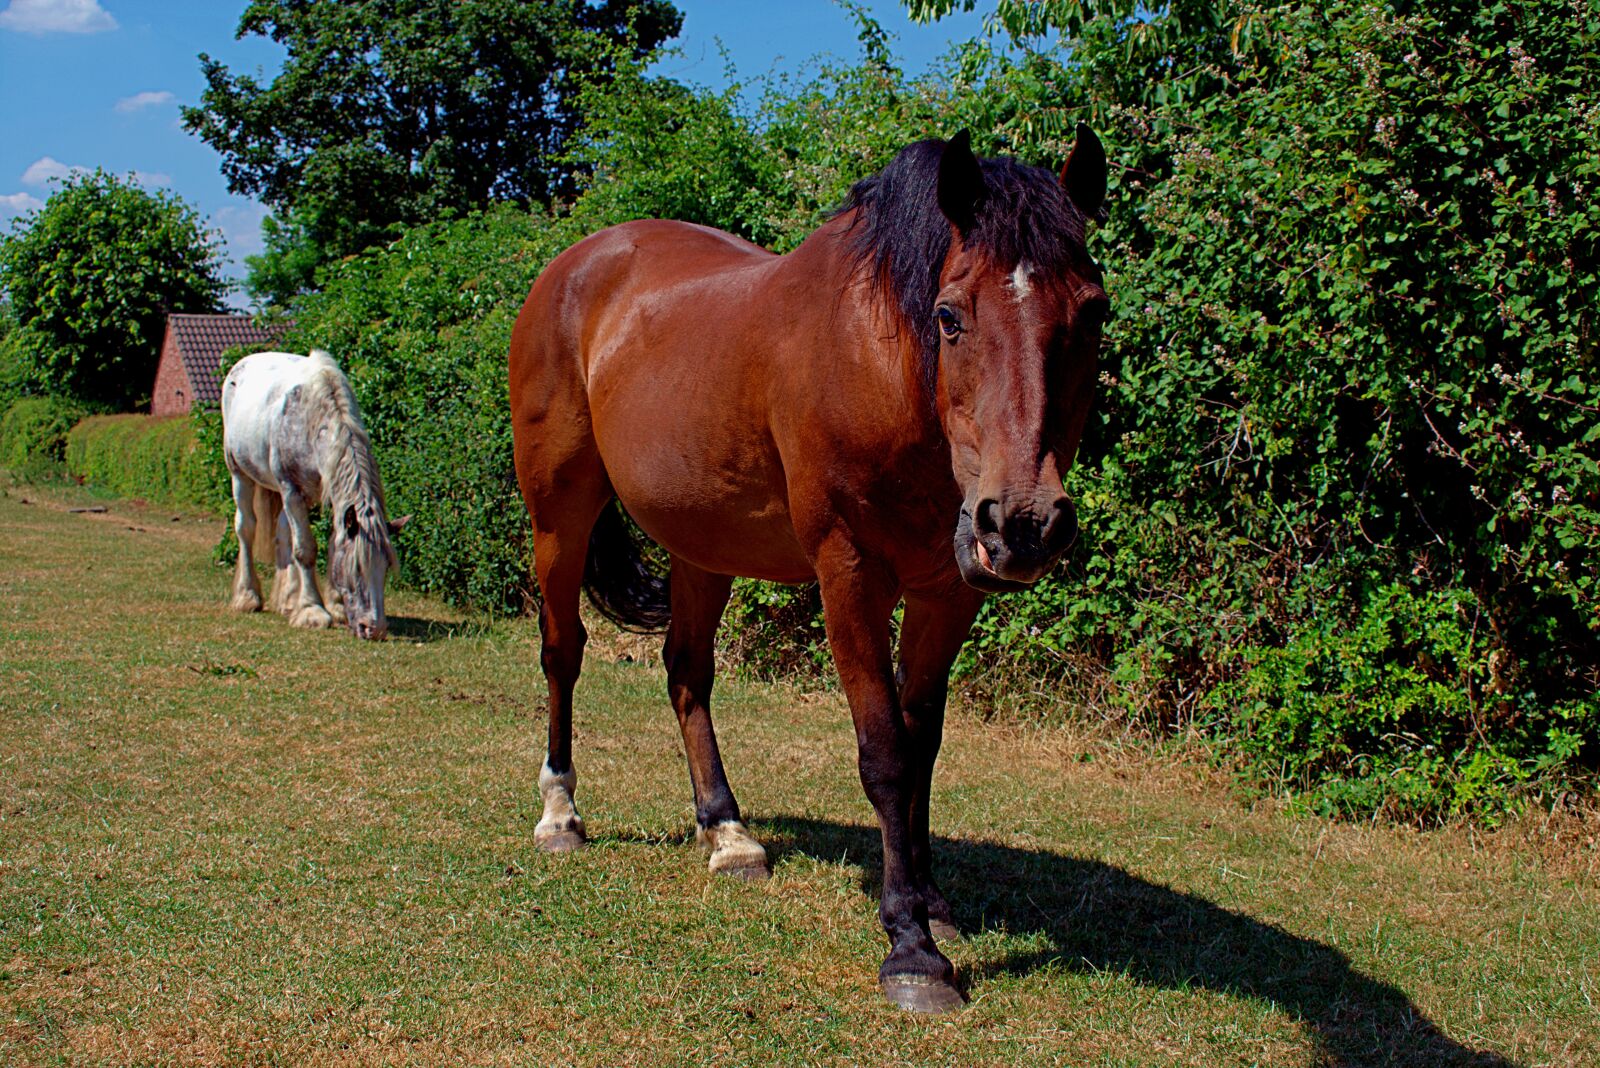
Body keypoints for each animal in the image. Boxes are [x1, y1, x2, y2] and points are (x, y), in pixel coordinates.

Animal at [221, 349, 408, 641]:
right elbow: (305, 549)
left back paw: (288, 601)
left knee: (283, 534)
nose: (374, 629)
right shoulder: (292, 490)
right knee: (246, 528)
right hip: (240, 473)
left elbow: (329, 544)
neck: (315, 421)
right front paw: (312, 611)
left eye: (386, 567)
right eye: (357, 568)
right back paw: (248, 596)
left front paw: (336, 606)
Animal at [508, 127, 1108, 1012]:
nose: (1026, 524)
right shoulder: (849, 577)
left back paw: (727, 834)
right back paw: (559, 814)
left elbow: (923, 747)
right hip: (561, 515)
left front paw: (931, 901)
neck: (885, 366)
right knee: (563, 653)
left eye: (1093, 312)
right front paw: (912, 948)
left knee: (686, 673)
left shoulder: (946, 593)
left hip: (701, 544)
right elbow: (885, 755)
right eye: (950, 316)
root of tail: (574, 265)